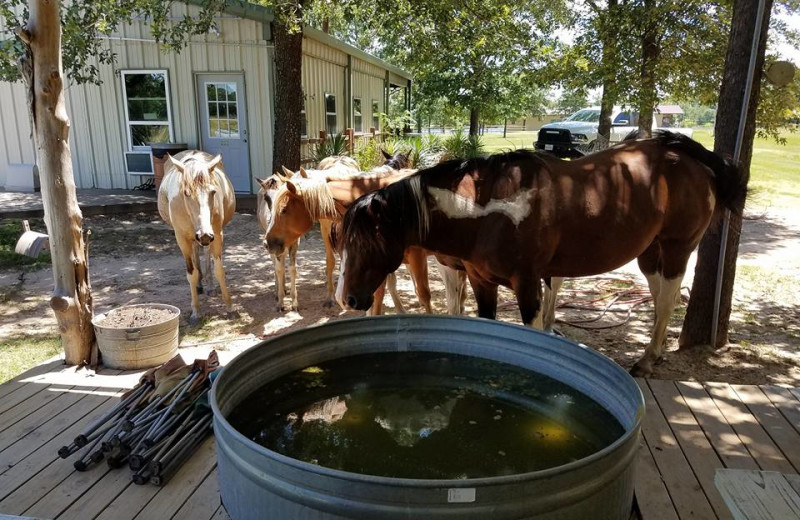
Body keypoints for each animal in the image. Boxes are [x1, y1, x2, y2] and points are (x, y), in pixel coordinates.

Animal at [157, 148, 236, 322]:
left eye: (212, 192)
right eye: (186, 193)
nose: (204, 234)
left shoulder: (217, 234)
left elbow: (219, 270)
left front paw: (229, 306)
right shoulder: (181, 238)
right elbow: (191, 273)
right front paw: (195, 311)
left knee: (205, 254)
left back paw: (209, 285)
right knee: (195, 253)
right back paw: (199, 285)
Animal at [334, 132, 748, 376]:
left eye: (368, 241)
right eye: (342, 242)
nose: (349, 299)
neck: (489, 208)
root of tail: (687, 155)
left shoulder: (528, 284)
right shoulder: (481, 280)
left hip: (678, 246)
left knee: (667, 300)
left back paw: (647, 360)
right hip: (649, 251)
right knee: (661, 292)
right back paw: (655, 353)